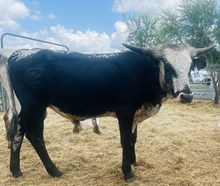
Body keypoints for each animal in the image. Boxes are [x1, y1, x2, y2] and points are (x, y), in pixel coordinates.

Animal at [0, 42, 213, 181]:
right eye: (167, 65)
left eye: (190, 65)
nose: (186, 95)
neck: (144, 70)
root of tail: (17, 54)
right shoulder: (125, 111)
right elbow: (125, 140)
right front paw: (127, 172)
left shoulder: (135, 114)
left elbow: (133, 139)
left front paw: (133, 162)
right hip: (34, 106)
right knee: (32, 134)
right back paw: (53, 171)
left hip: (27, 108)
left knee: (21, 132)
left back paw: (16, 170)